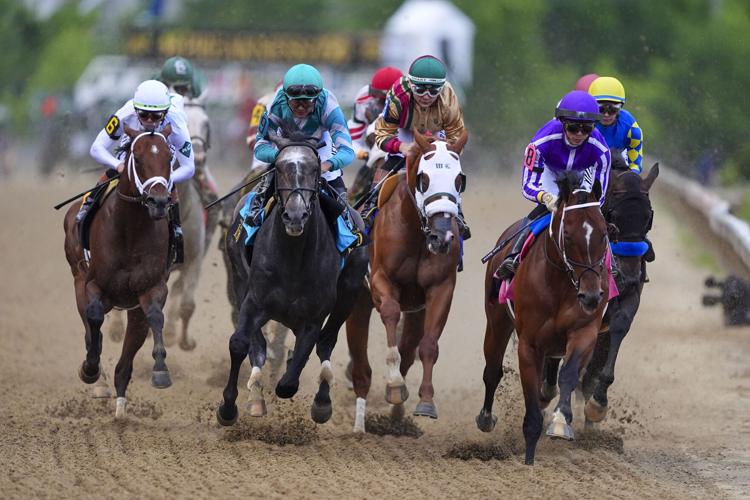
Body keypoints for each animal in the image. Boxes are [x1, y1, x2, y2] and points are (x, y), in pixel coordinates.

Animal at [63, 126, 177, 419]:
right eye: (136, 157)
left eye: (170, 157)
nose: (159, 201)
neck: (130, 229)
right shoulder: (94, 285)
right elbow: (93, 317)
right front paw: (90, 368)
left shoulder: (152, 288)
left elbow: (156, 316)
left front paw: (161, 371)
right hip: (78, 277)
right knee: (90, 325)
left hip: (133, 308)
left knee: (127, 357)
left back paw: (120, 404)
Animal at [216, 127, 368, 425]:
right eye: (280, 167)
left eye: (315, 169)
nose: (295, 215)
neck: (293, 258)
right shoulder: (253, 300)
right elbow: (240, 343)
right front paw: (228, 408)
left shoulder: (313, 317)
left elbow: (292, 377)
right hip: (238, 280)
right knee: (259, 344)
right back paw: (256, 396)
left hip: (349, 294)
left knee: (326, 342)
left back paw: (321, 402)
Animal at [345, 130, 468, 432]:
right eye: (424, 178)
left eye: (459, 178)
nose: (442, 237)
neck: (417, 232)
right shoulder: (380, 278)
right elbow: (390, 313)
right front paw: (392, 385)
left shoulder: (440, 288)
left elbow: (428, 346)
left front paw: (425, 402)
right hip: (357, 303)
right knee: (361, 367)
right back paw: (358, 424)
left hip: (414, 311)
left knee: (409, 349)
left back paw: (396, 415)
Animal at [476, 171, 609, 465]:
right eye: (567, 235)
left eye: (604, 233)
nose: (591, 295)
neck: (559, 281)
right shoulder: (529, 343)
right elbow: (531, 403)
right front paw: (528, 460)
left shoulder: (584, 331)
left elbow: (568, 374)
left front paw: (560, 422)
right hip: (497, 322)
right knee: (492, 370)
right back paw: (485, 418)